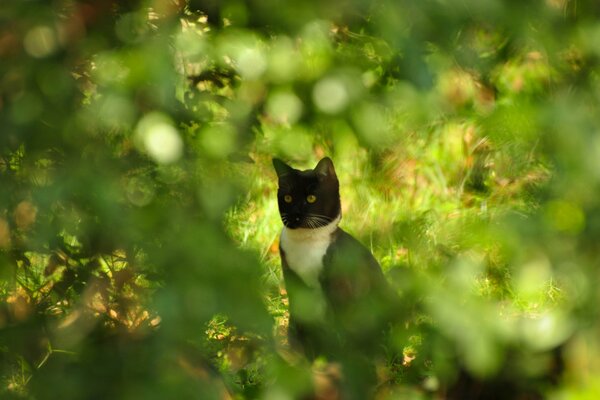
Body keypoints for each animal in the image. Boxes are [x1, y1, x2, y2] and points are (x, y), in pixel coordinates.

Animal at [272, 158, 398, 398]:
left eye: (311, 198)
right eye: (288, 198)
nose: (295, 215)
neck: (306, 244)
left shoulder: (340, 290)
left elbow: (340, 335)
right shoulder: (294, 286)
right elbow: (302, 334)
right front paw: (305, 366)